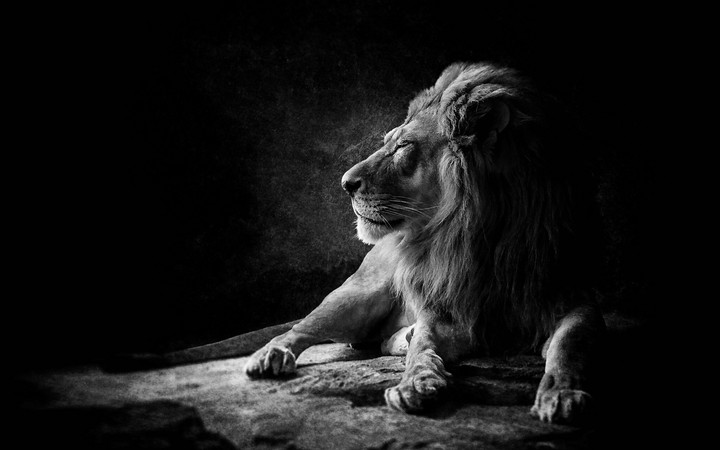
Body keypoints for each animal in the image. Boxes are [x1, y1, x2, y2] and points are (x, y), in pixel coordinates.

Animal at [242, 62, 606, 424]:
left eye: (404, 146)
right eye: (389, 142)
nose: (345, 184)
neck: (482, 239)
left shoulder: (574, 301)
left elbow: (568, 345)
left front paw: (561, 393)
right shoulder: (443, 305)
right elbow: (424, 343)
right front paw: (414, 382)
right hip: (355, 298)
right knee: (302, 327)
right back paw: (271, 354)